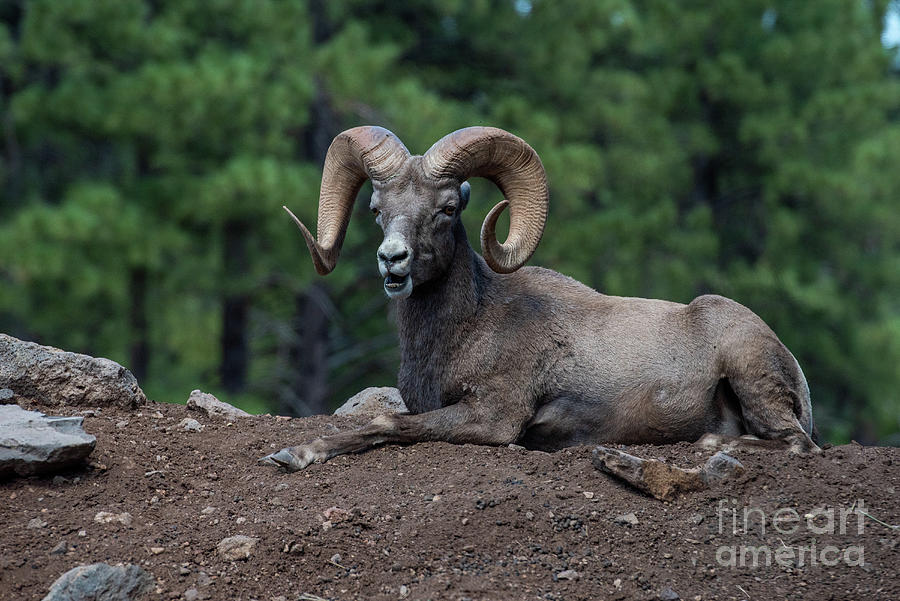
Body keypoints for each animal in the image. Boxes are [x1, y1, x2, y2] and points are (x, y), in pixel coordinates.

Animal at [258, 126, 816, 472]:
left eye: (446, 208)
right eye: (376, 208)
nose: (391, 260)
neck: (467, 328)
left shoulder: (492, 418)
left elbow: (382, 422)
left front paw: (295, 454)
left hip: (752, 377)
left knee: (797, 444)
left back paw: (708, 441)